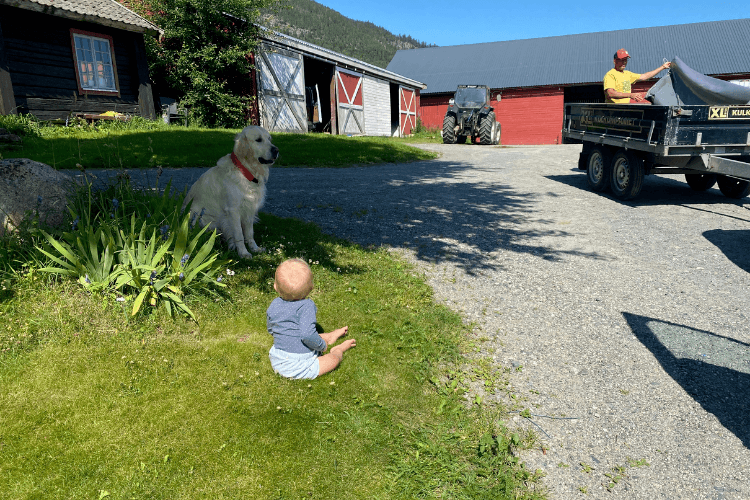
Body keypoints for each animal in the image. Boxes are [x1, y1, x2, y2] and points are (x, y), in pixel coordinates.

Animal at [184, 126, 280, 258]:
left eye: (269, 139)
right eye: (258, 140)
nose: (276, 150)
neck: (246, 172)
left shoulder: (249, 208)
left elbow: (249, 233)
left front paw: (254, 248)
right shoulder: (233, 210)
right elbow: (239, 234)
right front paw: (244, 253)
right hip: (202, 219)